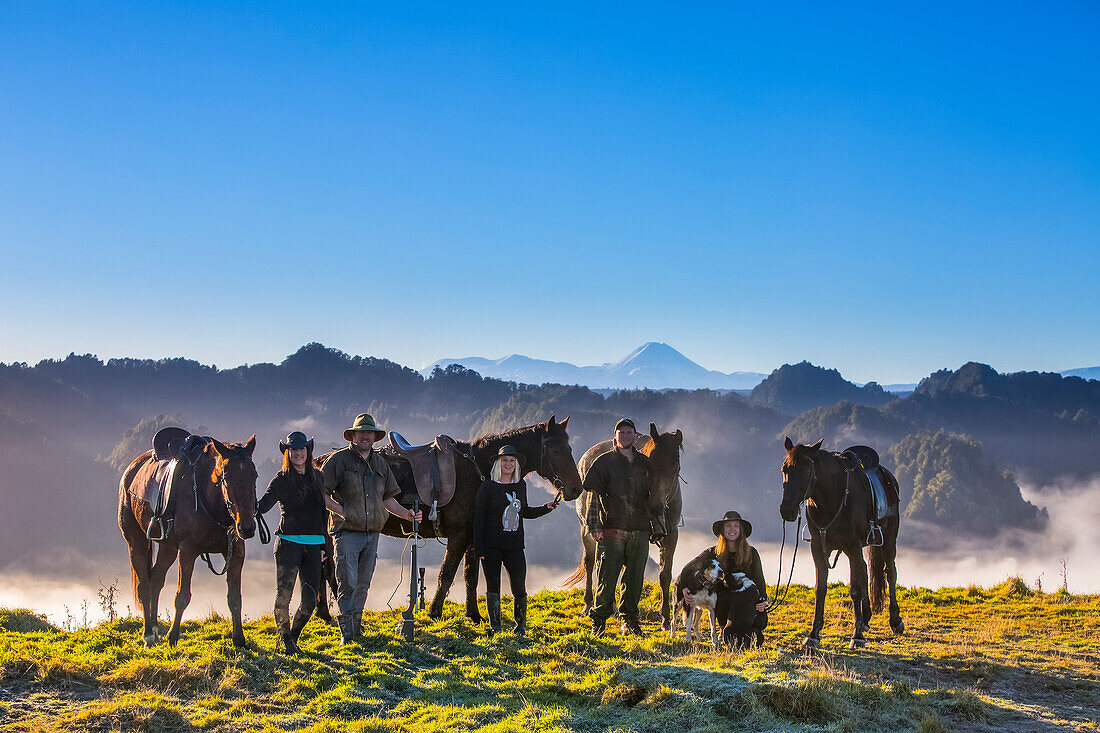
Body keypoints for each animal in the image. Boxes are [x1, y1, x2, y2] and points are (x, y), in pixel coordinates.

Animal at [567, 422, 677, 629]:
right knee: (592, 562)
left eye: (674, 466)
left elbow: (664, 575)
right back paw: (590, 605)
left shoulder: (671, 535)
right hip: (587, 529)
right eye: (651, 464)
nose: (656, 505)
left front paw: (666, 618)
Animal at [778, 433, 906, 647]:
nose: (787, 510)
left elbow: (854, 589)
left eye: (806, 469)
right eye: (785, 469)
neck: (831, 498)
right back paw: (865, 618)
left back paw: (895, 621)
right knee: (864, 570)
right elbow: (820, 589)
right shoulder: (818, 547)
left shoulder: (853, 545)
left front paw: (857, 636)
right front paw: (813, 634)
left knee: (890, 572)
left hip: (888, 540)